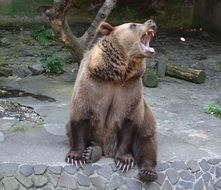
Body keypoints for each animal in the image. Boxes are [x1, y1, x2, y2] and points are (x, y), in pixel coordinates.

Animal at [65, 20, 157, 182]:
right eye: (134, 25)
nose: (151, 21)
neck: (116, 75)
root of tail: (107, 151)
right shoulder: (92, 85)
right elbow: (80, 116)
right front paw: (75, 157)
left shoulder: (130, 89)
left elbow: (129, 122)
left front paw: (125, 161)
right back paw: (92, 152)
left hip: (146, 121)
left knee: (146, 143)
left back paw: (148, 172)